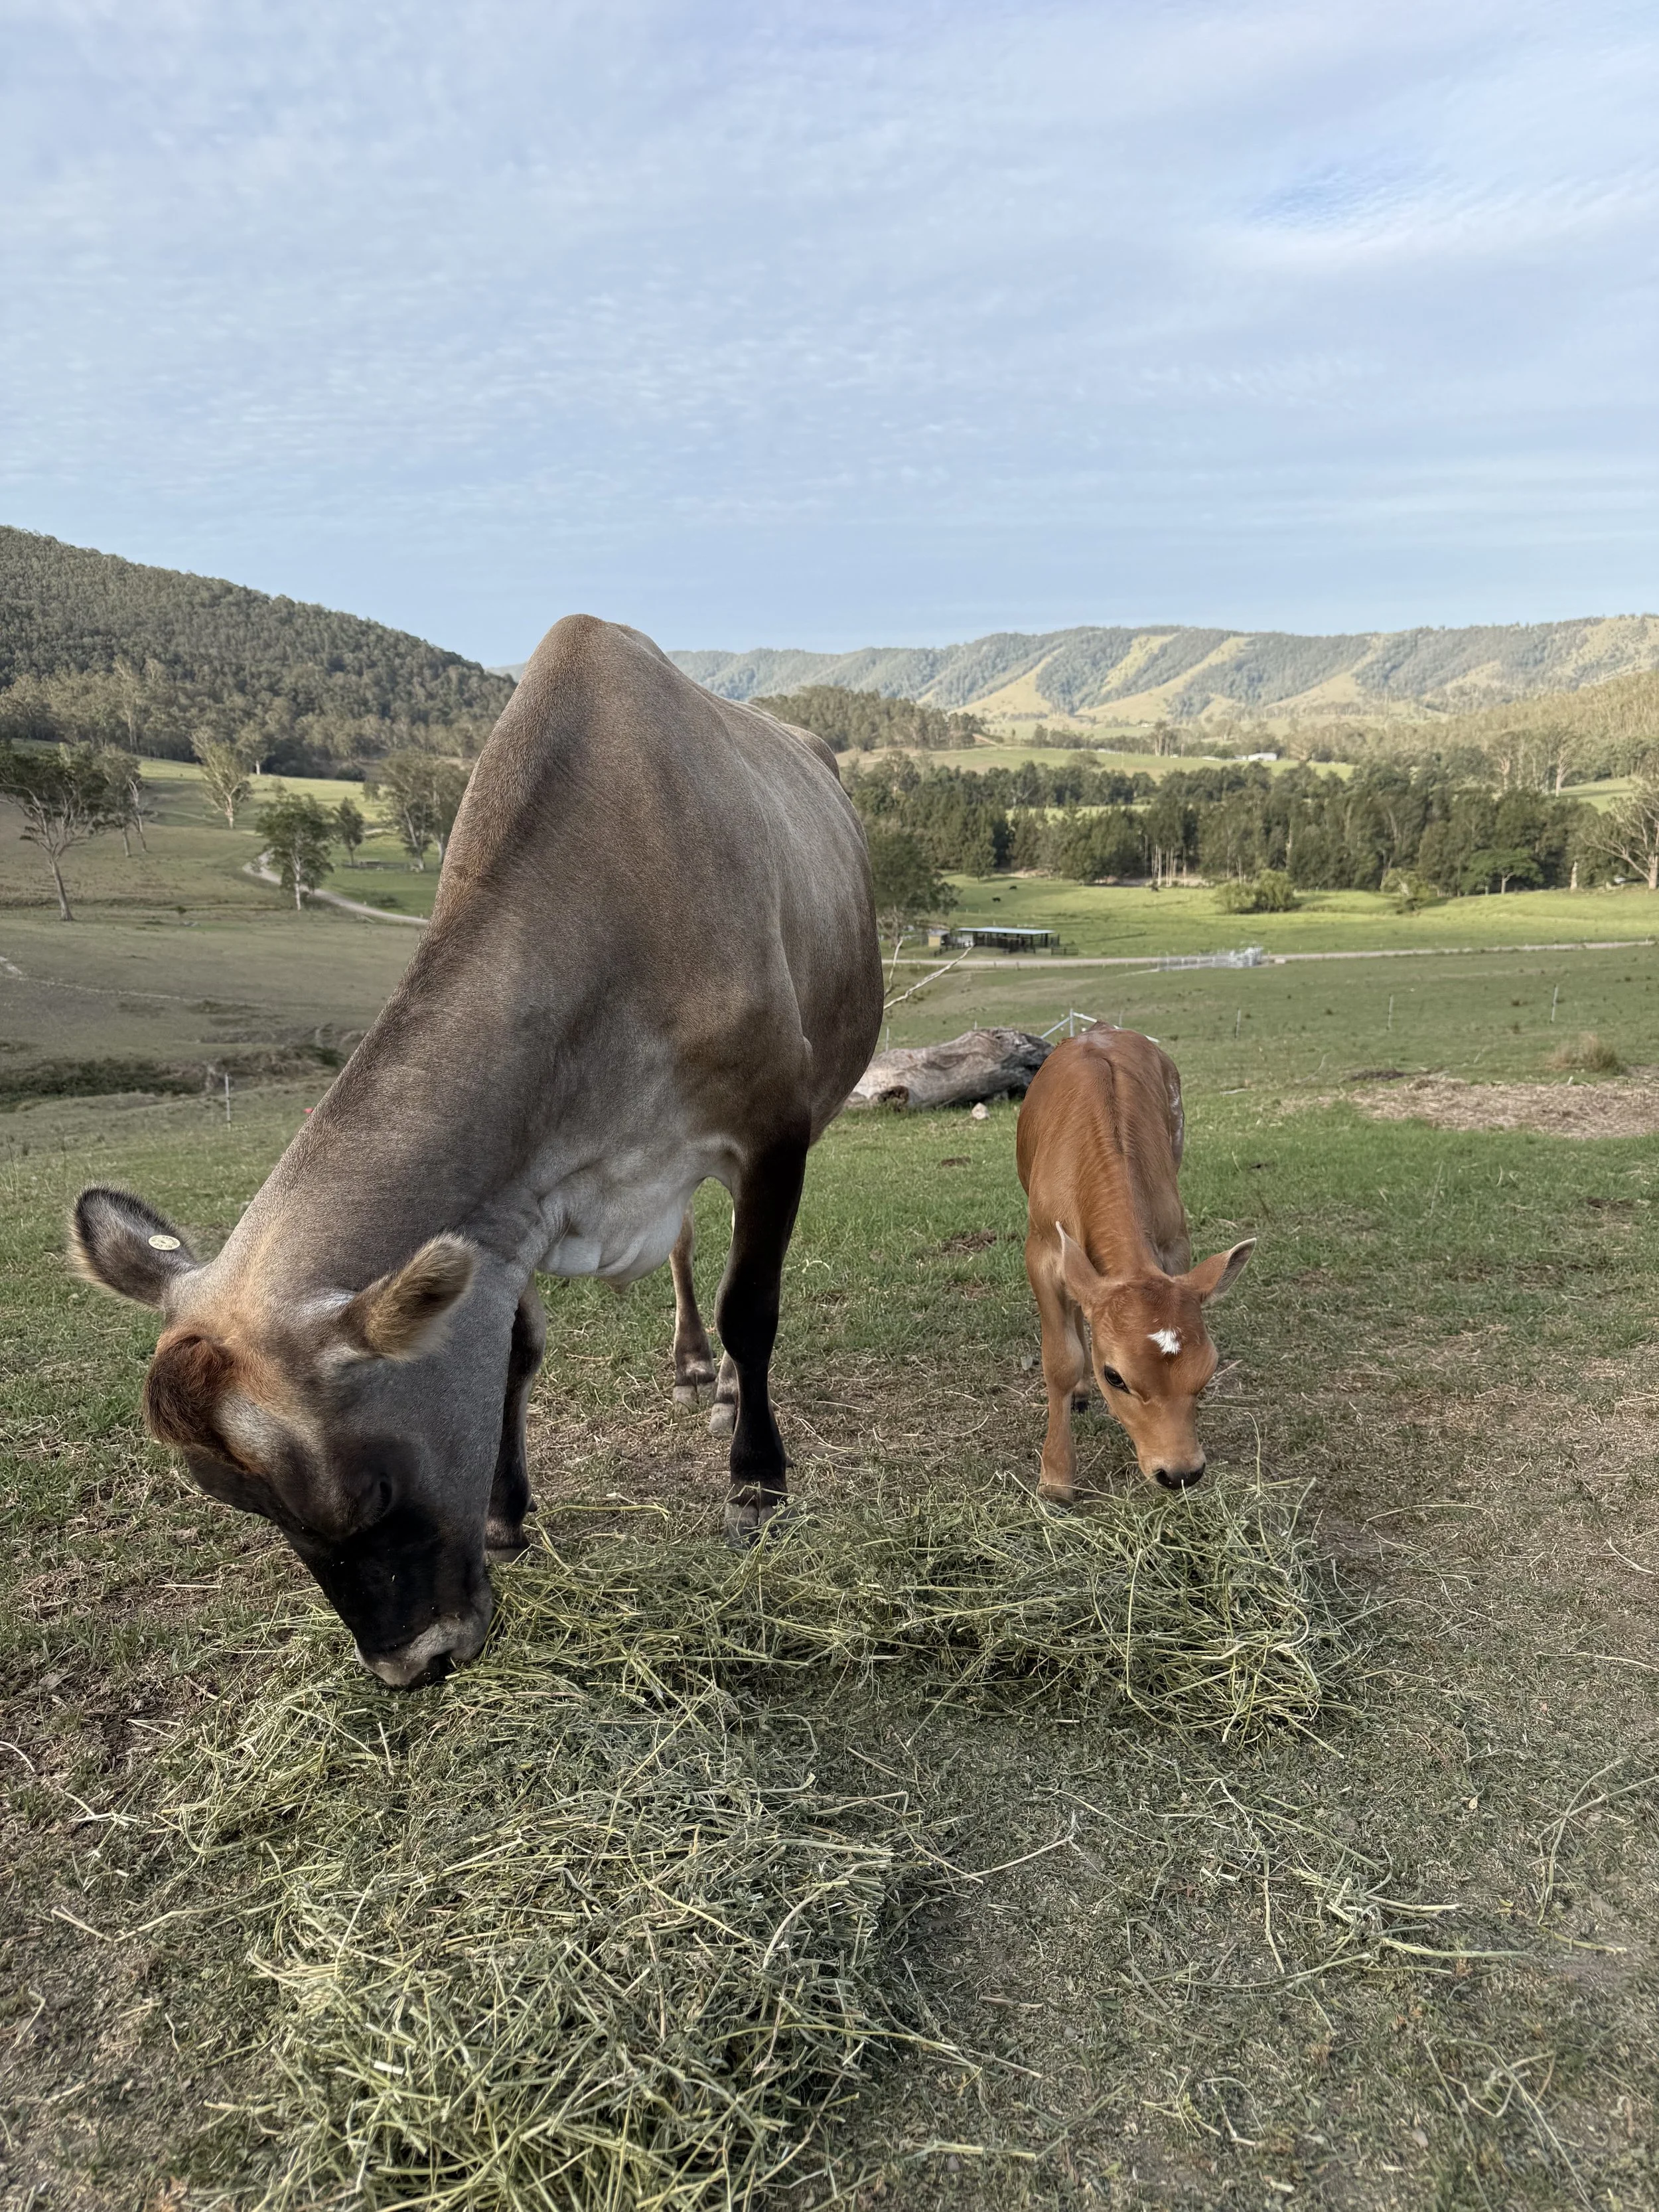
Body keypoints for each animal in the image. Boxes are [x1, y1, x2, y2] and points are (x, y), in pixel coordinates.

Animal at [70, 616, 883, 1687]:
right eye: (248, 1509)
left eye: (368, 1494)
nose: (411, 1667)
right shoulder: (513, 1200)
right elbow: (516, 1348)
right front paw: (504, 1510)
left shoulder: (775, 1126)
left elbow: (752, 1306)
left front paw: (755, 1483)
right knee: (681, 1246)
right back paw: (689, 1368)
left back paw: (722, 1396)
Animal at [1015, 1026, 1253, 1503]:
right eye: (1116, 1377)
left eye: (1210, 1367)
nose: (1180, 1472)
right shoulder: (1042, 1250)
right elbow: (1061, 1359)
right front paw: (1056, 1478)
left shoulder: (1174, 1242)